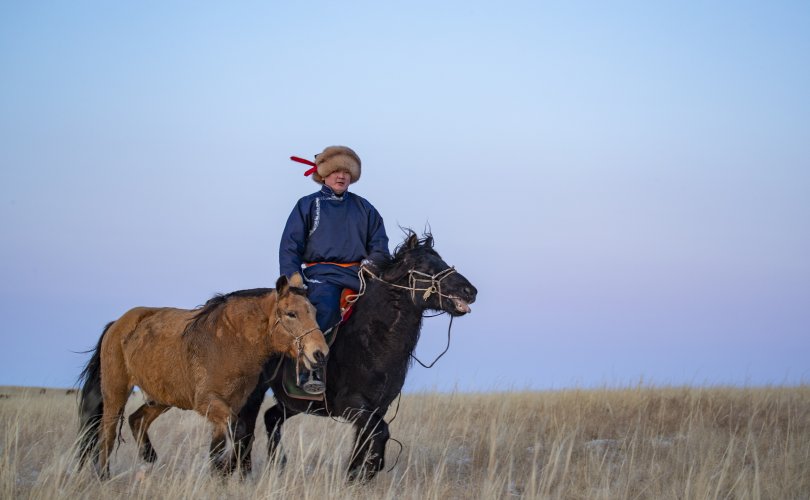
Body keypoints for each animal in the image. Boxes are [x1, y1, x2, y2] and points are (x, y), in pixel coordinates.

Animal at [76, 274, 326, 476]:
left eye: (314, 312)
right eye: (291, 314)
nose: (320, 353)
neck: (230, 342)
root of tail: (116, 325)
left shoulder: (230, 405)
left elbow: (218, 446)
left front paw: (219, 475)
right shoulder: (209, 402)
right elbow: (238, 431)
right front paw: (226, 468)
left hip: (162, 398)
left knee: (136, 419)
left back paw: (150, 457)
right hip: (115, 393)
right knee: (107, 435)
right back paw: (103, 476)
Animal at [232, 232, 474, 482]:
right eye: (424, 266)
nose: (470, 291)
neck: (372, 339)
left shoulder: (375, 408)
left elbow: (365, 441)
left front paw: (356, 475)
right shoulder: (353, 405)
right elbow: (380, 432)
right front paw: (366, 470)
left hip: (294, 401)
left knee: (270, 418)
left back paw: (277, 465)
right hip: (254, 392)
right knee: (244, 428)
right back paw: (242, 472)